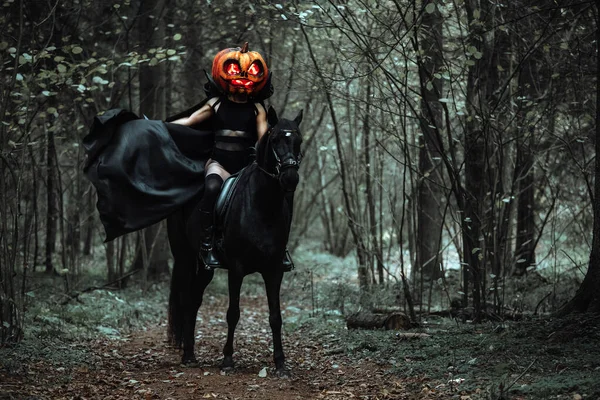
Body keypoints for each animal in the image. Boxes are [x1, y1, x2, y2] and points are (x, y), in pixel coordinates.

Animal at [166, 106, 302, 376]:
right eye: (275, 139)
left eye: (298, 140)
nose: (290, 178)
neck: (262, 207)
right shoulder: (237, 269)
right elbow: (233, 313)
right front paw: (227, 359)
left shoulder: (273, 270)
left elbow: (275, 316)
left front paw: (280, 363)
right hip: (184, 256)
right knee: (186, 300)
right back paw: (187, 355)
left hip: (205, 267)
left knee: (194, 300)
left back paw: (191, 352)